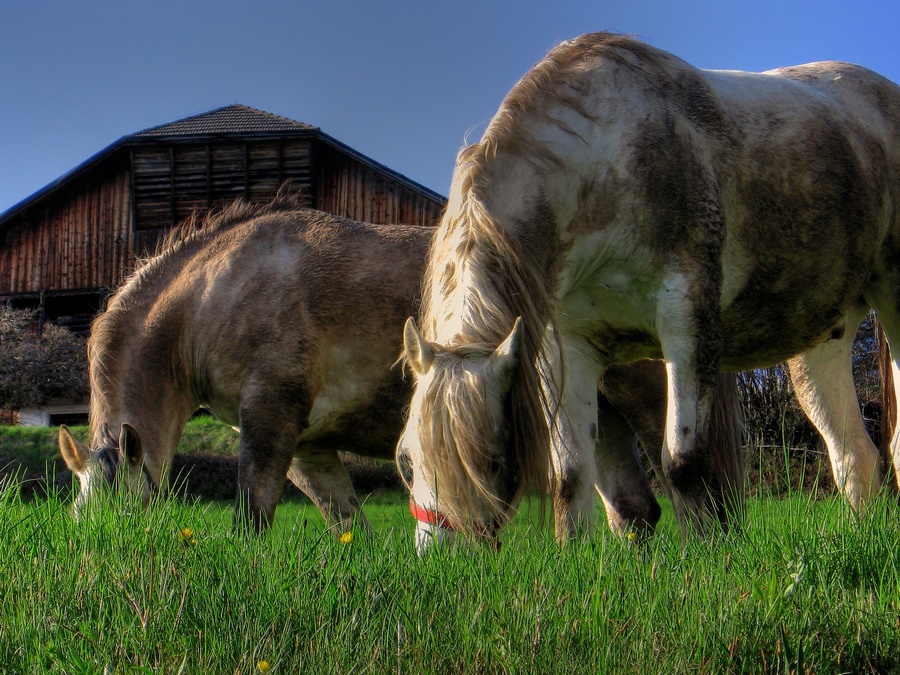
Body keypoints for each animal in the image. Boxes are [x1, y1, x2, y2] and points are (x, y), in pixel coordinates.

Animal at [58, 196, 744, 534]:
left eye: (123, 519)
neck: (216, 292)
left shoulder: (271, 423)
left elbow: (251, 519)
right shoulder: (309, 447)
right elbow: (348, 528)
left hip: (653, 404)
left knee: (702, 503)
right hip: (595, 411)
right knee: (634, 512)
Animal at [397, 32, 900, 550]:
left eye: (493, 462)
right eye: (407, 461)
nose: (444, 560)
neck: (607, 163)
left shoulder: (686, 317)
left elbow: (682, 462)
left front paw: (704, 555)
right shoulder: (570, 348)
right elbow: (571, 475)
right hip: (822, 345)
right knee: (854, 456)